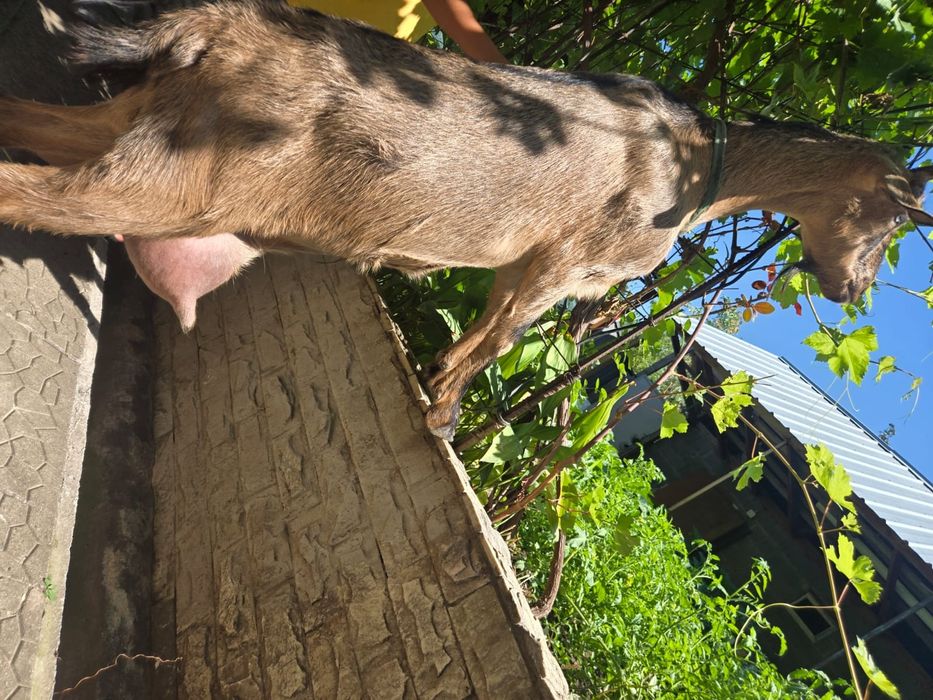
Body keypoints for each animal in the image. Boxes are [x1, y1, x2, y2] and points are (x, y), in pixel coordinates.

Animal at [0, 0, 929, 439]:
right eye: (890, 227)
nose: (851, 293)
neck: (699, 163)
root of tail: (217, 23)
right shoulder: (562, 265)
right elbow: (499, 345)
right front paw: (444, 416)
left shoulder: (517, 267)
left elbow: (484, 333)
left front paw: (435, 384)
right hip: (178, 181)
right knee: (26, 192)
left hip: (136, 128)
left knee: (25, 122)